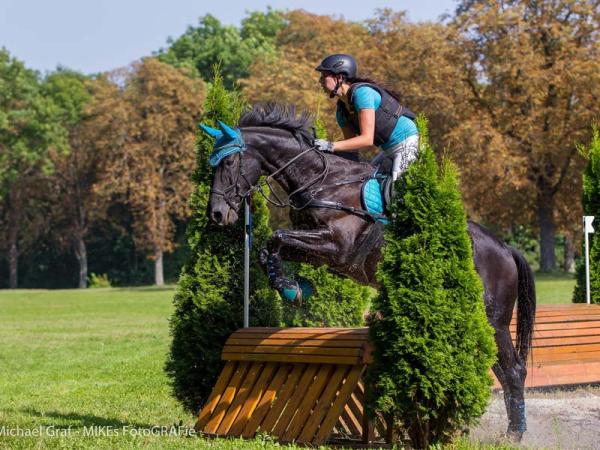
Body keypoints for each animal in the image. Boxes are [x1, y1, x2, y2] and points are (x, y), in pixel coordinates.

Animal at [204, 103, 536, 440]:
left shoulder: (337, 246)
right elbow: (269, 248)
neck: (321, 180)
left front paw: (291, 288)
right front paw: (294, 286)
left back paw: (515, 433)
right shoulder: (319, 250)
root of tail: (505, 248)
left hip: (493, 317)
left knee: (513, 370)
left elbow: (277, 237)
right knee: (499, 368)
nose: (217, 214)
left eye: (229, 162)